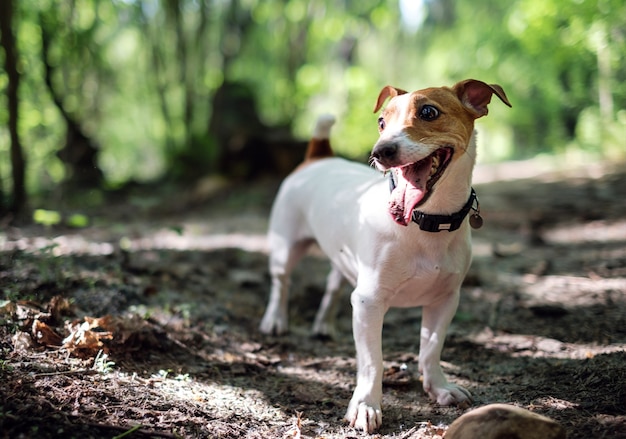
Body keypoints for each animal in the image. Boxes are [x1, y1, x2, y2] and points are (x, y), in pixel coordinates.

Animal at [258, 80, 508, 434]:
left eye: (428, 112)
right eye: (381, 122)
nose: (380, 152)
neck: (426, 222)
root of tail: (318, 157)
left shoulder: (445, 299)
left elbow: (431, 349)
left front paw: (439, 387)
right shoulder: (369, 302)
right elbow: (372, 362)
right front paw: (366, 406)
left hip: (344, 260)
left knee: (333, 286)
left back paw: (323, 324)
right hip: (285, 247)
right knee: (282, 283)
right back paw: (275, 321)